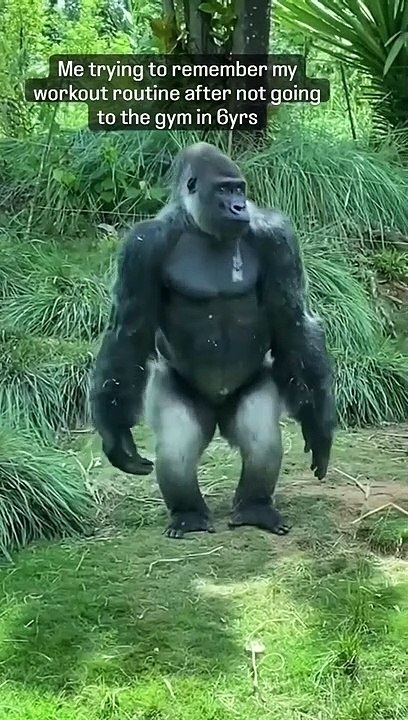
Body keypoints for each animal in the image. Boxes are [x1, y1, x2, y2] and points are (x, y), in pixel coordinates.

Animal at [90, 142, 336, 539]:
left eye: (239, 189)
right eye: (224, 190)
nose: (238, 207)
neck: (201, 227)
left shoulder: (277, 236)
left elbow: (293, 321)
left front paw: (319, 426)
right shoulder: (143, 245)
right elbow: (128, 332)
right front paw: (116, 436)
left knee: (260, 437)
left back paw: (254, 507)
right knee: (178, 446)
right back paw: (188, 514)